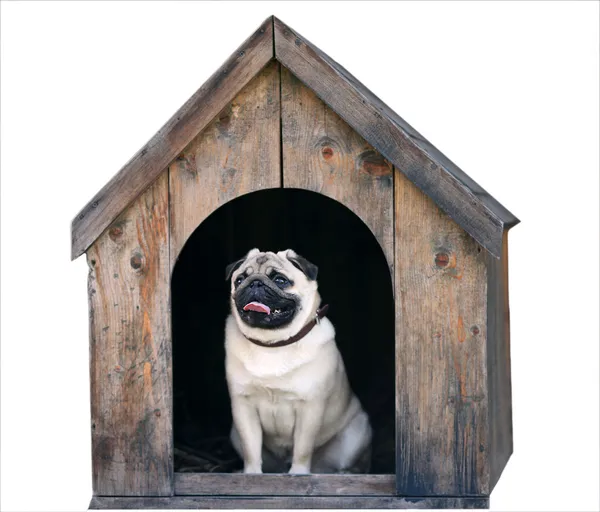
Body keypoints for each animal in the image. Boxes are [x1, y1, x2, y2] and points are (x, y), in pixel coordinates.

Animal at [223, 250, 370, 474]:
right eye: (239, 280)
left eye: (280, 280)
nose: (254, 283)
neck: (273, 344)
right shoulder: (243, 406)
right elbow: (251, 449)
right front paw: (251, 474)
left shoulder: (309, 408)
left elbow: (302, 448)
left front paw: (298, 474)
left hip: (357, 433)